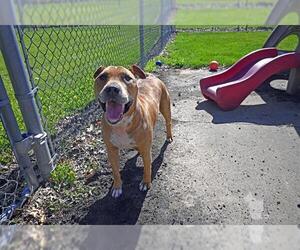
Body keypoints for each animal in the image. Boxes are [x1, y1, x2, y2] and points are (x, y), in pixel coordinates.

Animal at [94, 64, 173, 197]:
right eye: (102, 76)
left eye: (127, 78)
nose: (112, 88)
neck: (121, 124)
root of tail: (151, 76)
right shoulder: (111, 150)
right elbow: (115, 171)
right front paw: (117, 187)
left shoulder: (146, 150)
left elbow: (147, 168)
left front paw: (146, 183)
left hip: (165, 107)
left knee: (168, 122)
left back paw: (169, 137)